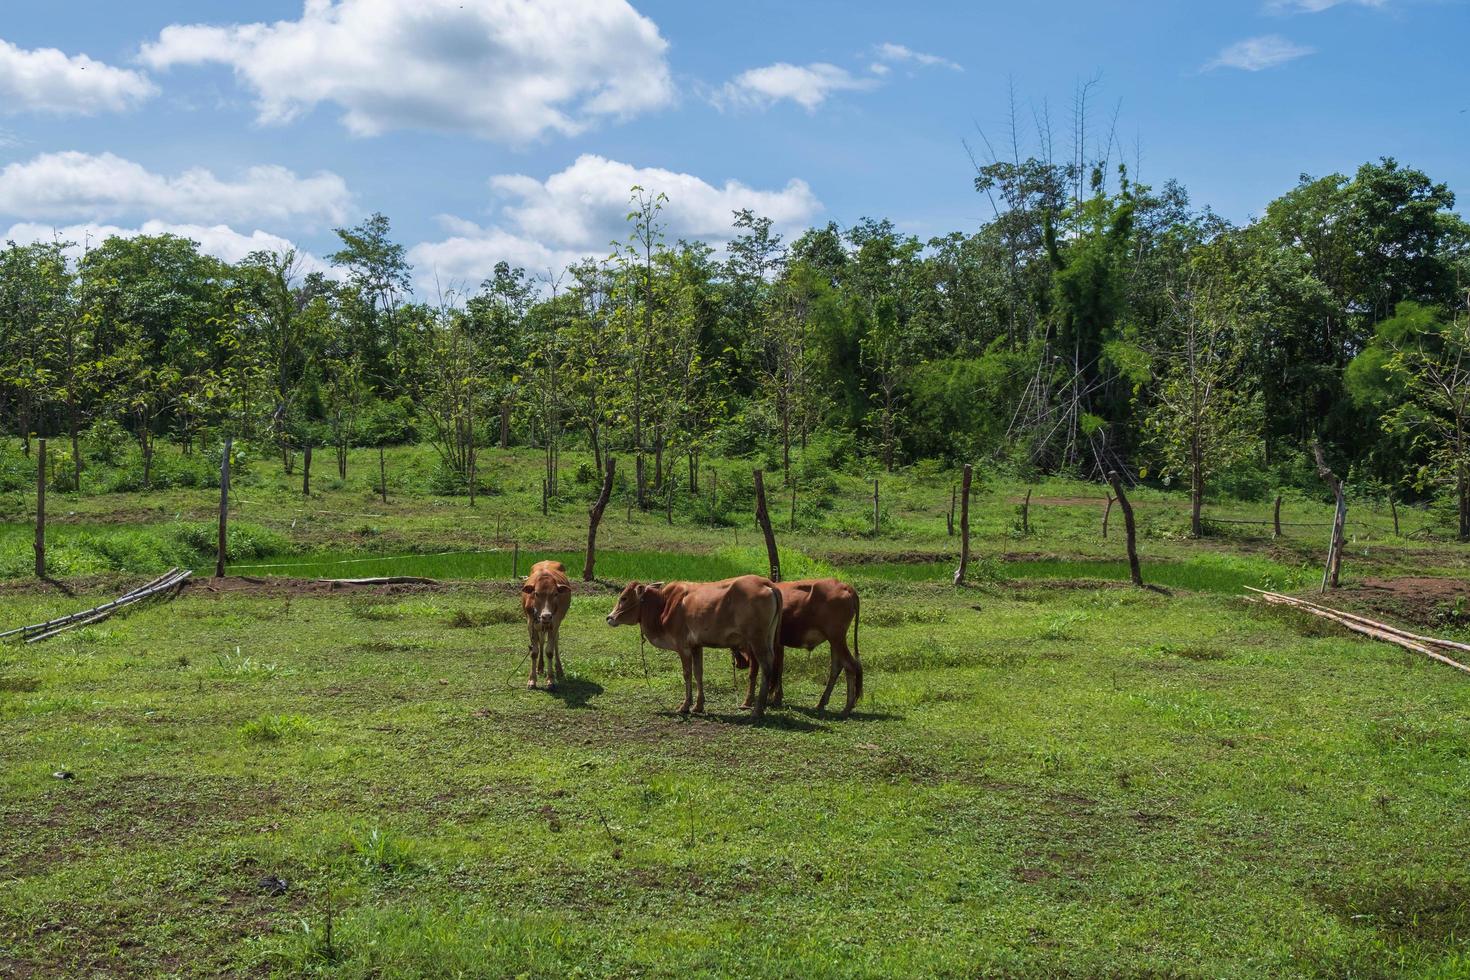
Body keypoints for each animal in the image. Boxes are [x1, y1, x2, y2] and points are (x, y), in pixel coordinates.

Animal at [520, 558, 570, 690]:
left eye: (556, 594)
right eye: (536, 593)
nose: (546, 616)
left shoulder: (554, 623)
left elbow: (549, 651)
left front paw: (550, 680)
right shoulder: (530, 624)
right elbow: (534, 652)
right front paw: (532, 680)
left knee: (555, 641)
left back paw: (559, 669)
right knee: (541, 641)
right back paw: (540, 667)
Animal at [602, 575, 782, 719]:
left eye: (624, 598)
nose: (609, 618)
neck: (663, 606)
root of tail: (767, 583)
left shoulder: (683, 647)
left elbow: (687, 674)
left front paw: (685, 706)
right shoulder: (696, 646)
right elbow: (698, 674)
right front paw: (698, 706)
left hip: (757, 640)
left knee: (766, 668)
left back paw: (757, 710)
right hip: (767, 639)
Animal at [735, 575, 858, 719]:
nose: (739, 664)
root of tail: (844, 586)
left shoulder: (756, 644)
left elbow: (754, 673)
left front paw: (748, 701)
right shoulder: (778, 645)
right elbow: (778, 669)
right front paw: (776, 698)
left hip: (836, 638)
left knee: (850, 666)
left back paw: (847, 708)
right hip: (835, 641)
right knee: (837, 667)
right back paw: (822, 703)